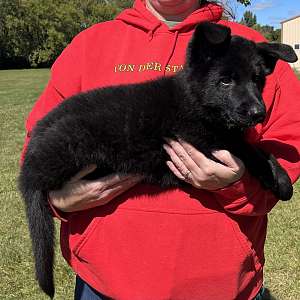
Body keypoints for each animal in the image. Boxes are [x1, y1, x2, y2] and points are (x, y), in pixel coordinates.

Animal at [19, 21, 298, 298]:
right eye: (226, 81)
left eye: (258, 80)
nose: (259, 113)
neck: (194, 101)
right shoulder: (203, 140)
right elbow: (250, 149)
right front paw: (281, 181)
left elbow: (256, 147)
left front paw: (280, 177)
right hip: (71, 146)